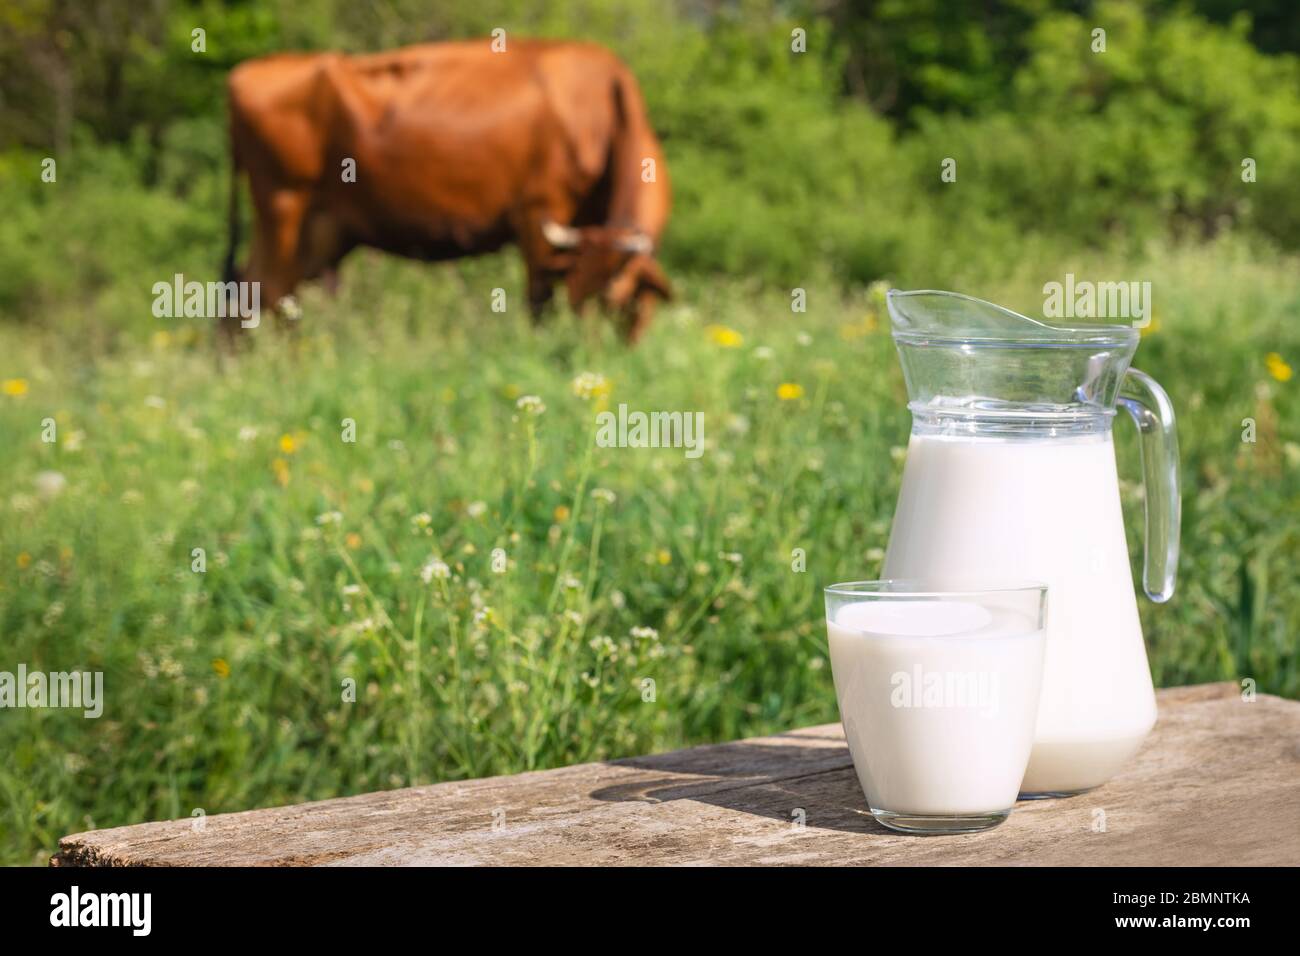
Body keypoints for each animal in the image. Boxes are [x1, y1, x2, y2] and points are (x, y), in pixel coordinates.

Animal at [222, 42, 670, 345]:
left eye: (616, 299)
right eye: (580, 301)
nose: (587, 354)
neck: (601, 111)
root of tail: (245, 72)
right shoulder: (537, 212)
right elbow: (538, 300)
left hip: (321, 228)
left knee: (249, 289)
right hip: (284, 202)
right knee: (273, 293)